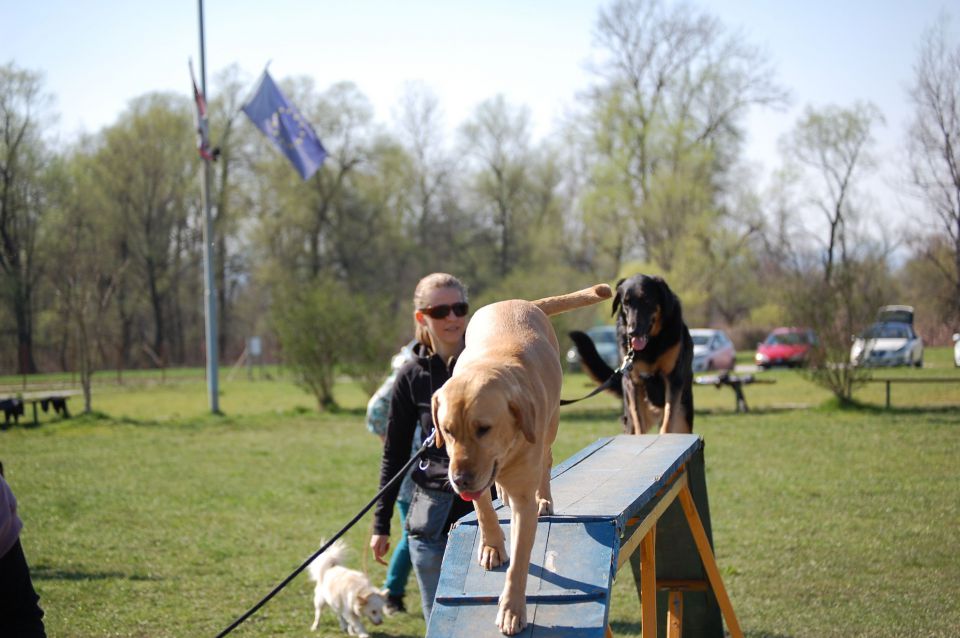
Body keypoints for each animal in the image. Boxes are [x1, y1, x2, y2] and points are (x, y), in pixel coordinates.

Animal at [568, 276, 692, 436]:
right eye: (625, 303)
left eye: (646, 300)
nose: (632, 332)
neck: (651, 344)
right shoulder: (632, 382)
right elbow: (637, 418)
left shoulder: (673, 379)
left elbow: (668, 417)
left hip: (684, 417)